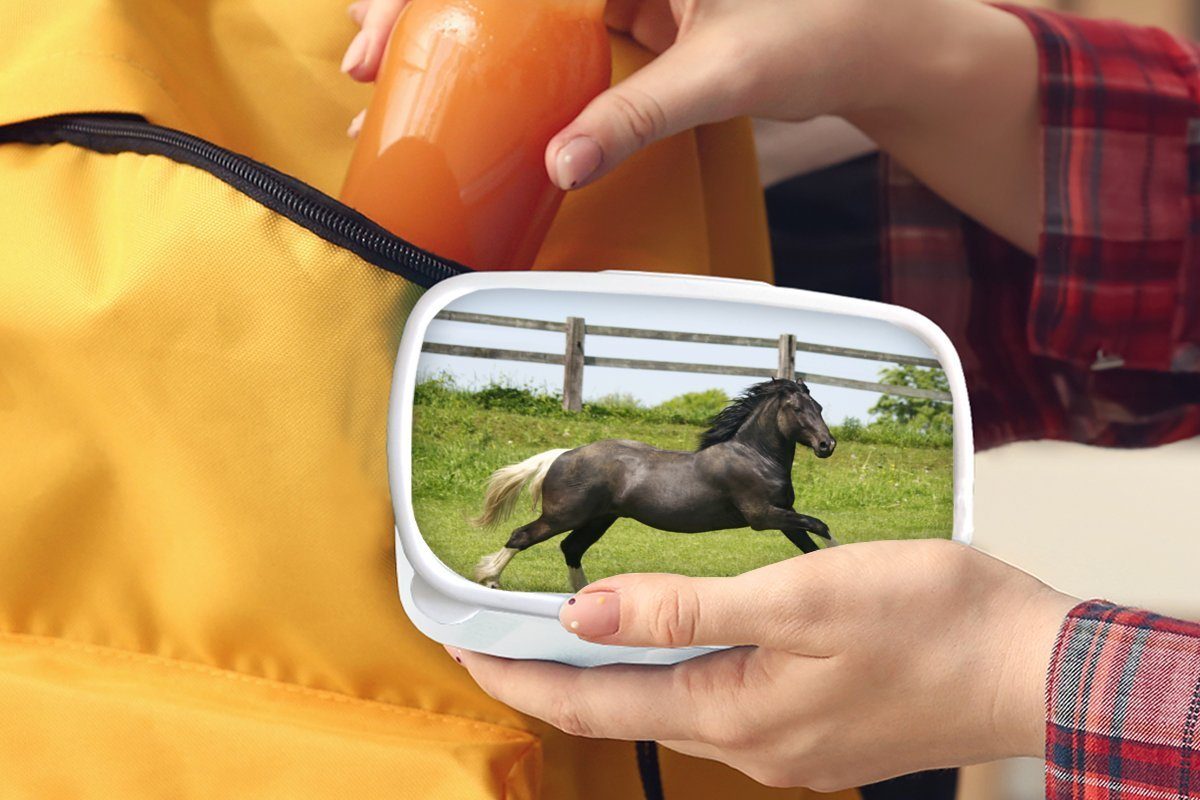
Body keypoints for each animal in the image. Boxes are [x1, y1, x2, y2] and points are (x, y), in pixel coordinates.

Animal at [468, 379, 835, 592]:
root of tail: (562, 454)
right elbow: (821, 526)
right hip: (563, 516)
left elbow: (811, 545)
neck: (754, 457)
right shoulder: (763, 516)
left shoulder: (783, 515)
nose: (827, 445)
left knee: (571, 548)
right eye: (797, 408)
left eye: (818, 407)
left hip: (599, 519)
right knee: (522, 536)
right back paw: (490, 579)